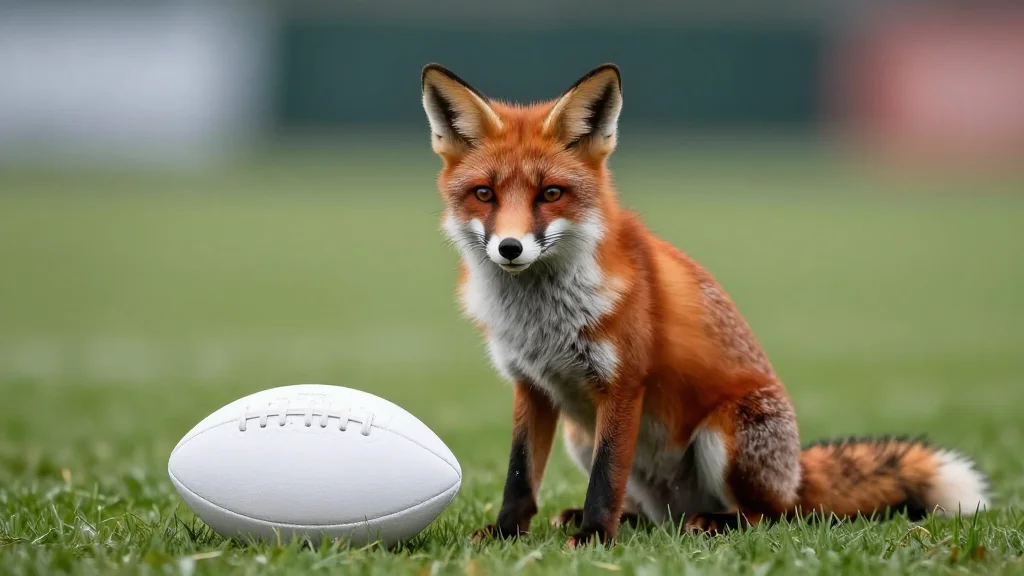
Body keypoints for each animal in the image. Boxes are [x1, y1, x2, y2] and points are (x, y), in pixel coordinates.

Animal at [419, 62, 990, 548]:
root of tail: (796, 476)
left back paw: (713, 522)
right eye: (485, 194)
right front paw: (505, 534)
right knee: (655, 514)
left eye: (551, 193)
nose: (510, 248)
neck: (541, 318)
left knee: (773, 516)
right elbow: (520, 476)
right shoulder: (532, 386)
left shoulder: (623, 384)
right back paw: (624, 519)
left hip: (726, 435)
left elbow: (606, 476)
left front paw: (594, 538)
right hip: (582, 436)